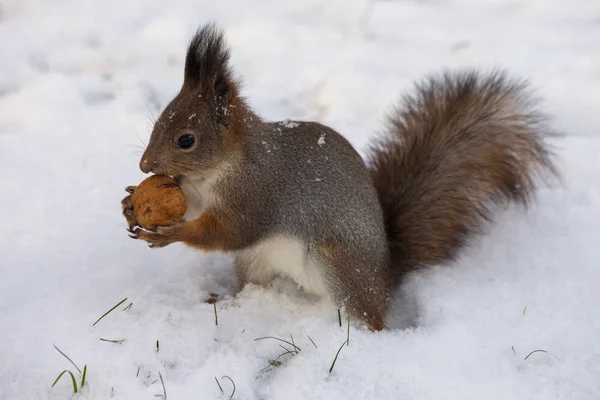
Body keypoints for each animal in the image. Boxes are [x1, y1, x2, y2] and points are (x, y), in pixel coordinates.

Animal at [120, 24, 556, 332]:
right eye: (158, 122)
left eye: (186, 140)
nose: (144, 165)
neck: (222, 168)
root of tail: (384, 276)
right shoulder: (197, 193)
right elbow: (195, 208)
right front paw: (129, 203)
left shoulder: (257, 194)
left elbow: (227, 232)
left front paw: (170, 233)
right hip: (257, 262)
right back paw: (229, 303)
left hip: (336, 264)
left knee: (370, 319)